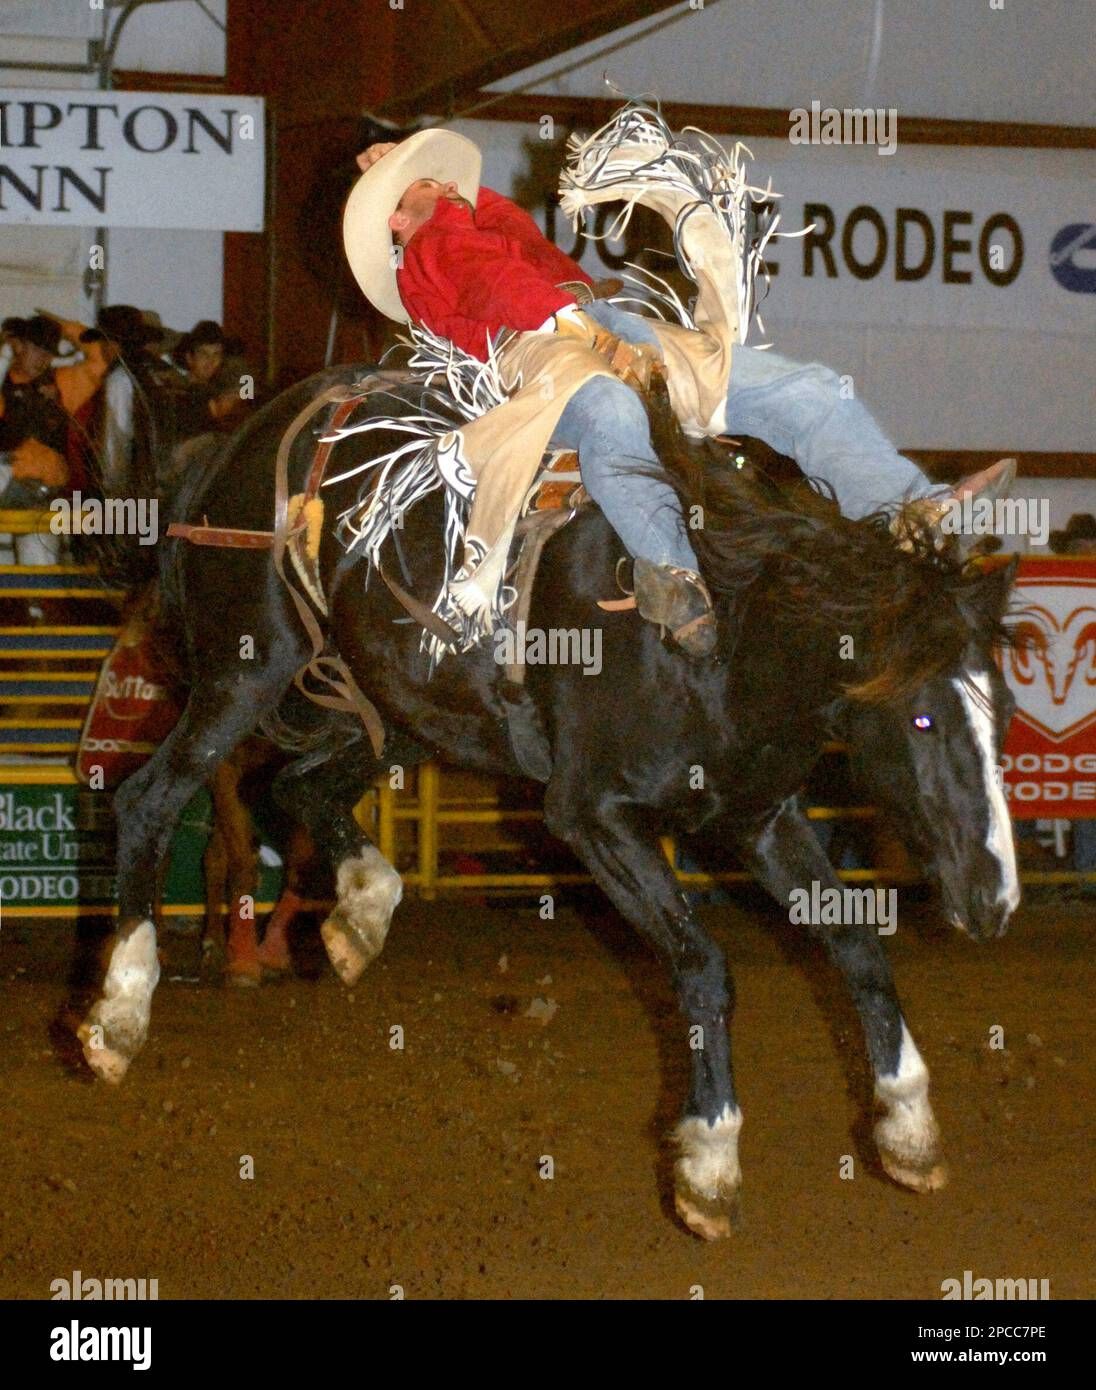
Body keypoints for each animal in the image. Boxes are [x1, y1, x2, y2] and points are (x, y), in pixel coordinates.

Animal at [77, 361, 1018, 1239]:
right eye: (924, 716)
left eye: (1003, 714)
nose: (994, 898)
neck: (727, 631)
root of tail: (226, 449)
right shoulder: (593, 816)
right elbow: (703, 967)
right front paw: (709, 1166)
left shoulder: (758, 818)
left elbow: (856, 944)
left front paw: (909, 1128)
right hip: (245, 672)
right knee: (149, 802)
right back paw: (119, 1014)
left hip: (396, 709)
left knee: (297, 785)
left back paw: (359, 916)